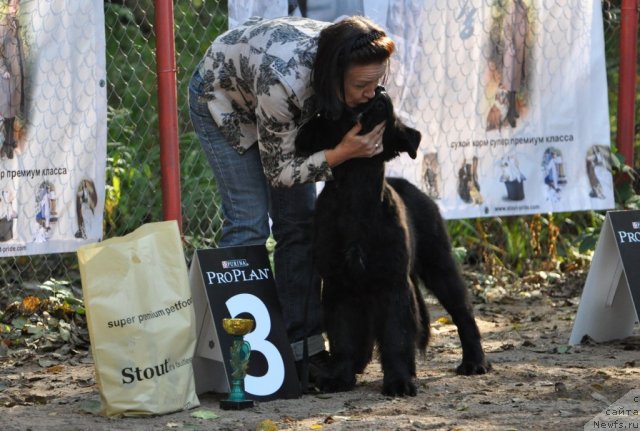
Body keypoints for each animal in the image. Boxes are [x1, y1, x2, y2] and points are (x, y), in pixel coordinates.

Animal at [296, 87, 490, 398]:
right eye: (348, 106)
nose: (379, 90)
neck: (357, 196)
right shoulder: (338, 284)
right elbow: (342, 336)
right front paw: (338, 377)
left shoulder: (392, 282)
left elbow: (396, 336)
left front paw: (399, 381)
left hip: (439, 264)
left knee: (463, 312)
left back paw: (474, 362)